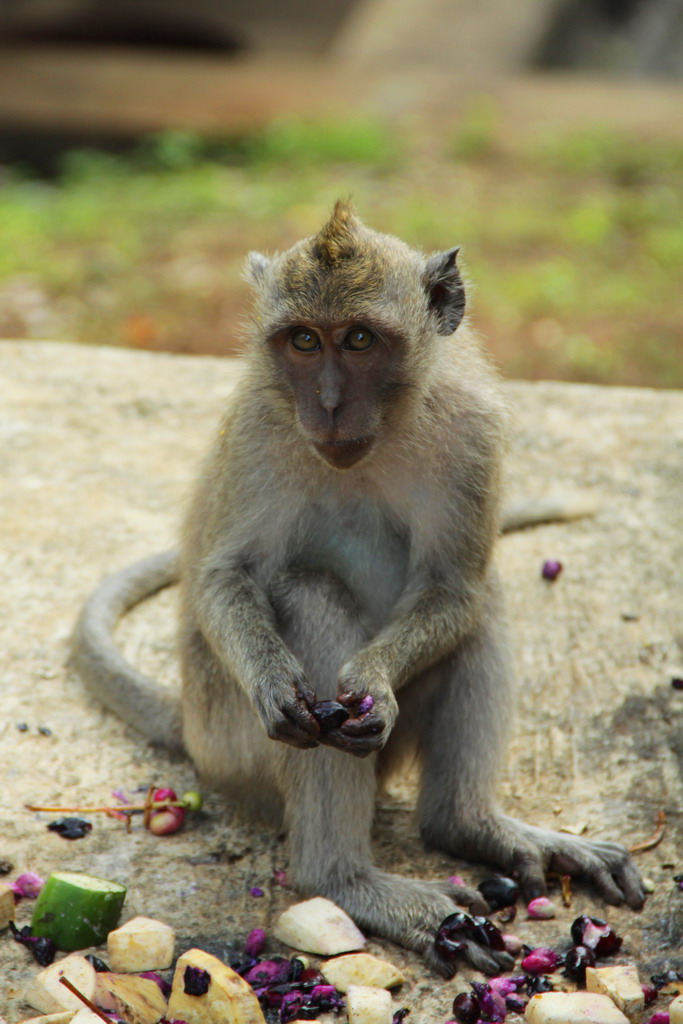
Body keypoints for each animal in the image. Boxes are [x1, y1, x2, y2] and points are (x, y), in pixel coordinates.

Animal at [72, 201, 643, 974]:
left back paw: (468, 826)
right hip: (232, 741)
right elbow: (225, 577)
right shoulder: (258, 427)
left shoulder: (474, 429)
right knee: (310, 596)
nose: (330, 403)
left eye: (361, 339)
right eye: (304, 341)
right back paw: (342, 880)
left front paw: (373, 680)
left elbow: (454, 589)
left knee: (480, 608)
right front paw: (273, 682)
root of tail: (189, 723)